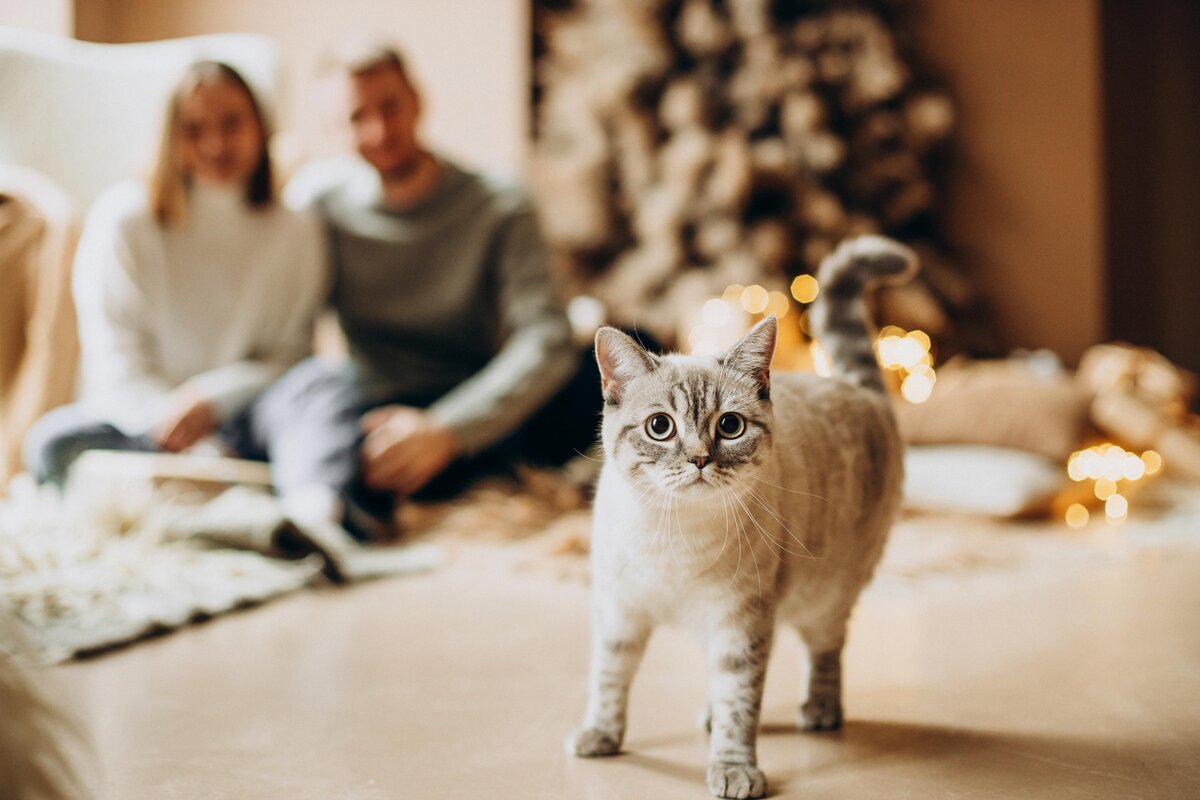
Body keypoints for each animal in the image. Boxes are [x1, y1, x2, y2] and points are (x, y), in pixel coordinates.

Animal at [566, 235, 912, 796]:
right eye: (660, 427)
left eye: (729, 426)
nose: (700, 459)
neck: (673, 536)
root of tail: (858, 389)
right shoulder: (620, 610)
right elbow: (609, 677)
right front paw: (601, 736)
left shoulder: (741, 620)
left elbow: (740, 703)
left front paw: (733, 769)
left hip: (826, 596)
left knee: (827, 649)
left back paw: (820, 709)